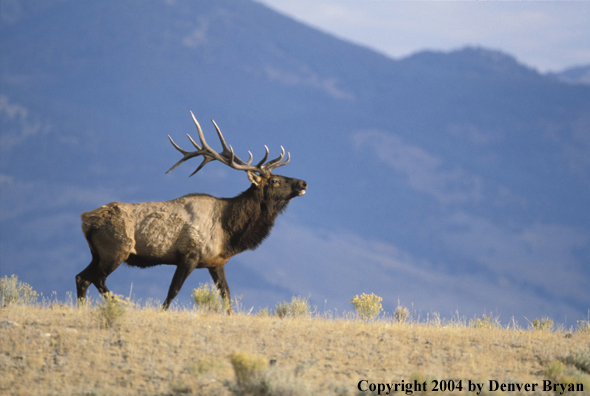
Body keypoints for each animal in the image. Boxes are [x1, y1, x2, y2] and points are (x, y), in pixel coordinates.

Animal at [75, 111, 308, 312]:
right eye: (276, 181)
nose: (303, 182)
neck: (229, 233)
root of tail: (85, 220)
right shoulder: (189, 255)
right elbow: (173, 291)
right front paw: (162, 312)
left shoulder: (216, 262)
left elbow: (226, 295)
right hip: (116, 250)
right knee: (96, 279)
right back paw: (121, 305)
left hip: (97, 254)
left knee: (81, 278)